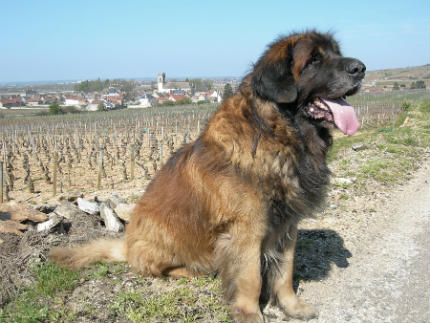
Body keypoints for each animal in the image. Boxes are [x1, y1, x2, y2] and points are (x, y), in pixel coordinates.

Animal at [50, 29, 366, 322]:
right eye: (313, 60)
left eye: (336, 54)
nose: (360, 68)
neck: (278, 134)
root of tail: (126, 244)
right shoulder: (246, 230)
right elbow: (251, 277)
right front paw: (250, 313)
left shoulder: (287, 224)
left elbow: (284, 272)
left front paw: (292, 306)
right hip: (166, 237)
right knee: (158, 268)